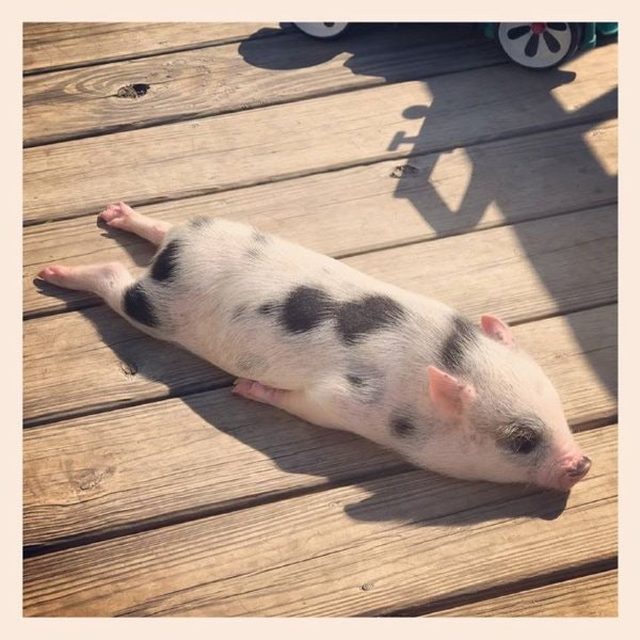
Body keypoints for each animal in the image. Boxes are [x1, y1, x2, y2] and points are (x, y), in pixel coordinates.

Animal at [37, 202, 591, 492]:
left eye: (557, 405)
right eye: (521, 440)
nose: (582, 463)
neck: (445, 357)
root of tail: (173, 257)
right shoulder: (340, 402)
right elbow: (303, 404)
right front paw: (245, 389)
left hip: (205, 231)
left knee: (164, 224)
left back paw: (115, 214)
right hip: (154, 308)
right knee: (116, 277)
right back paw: (49, 272)